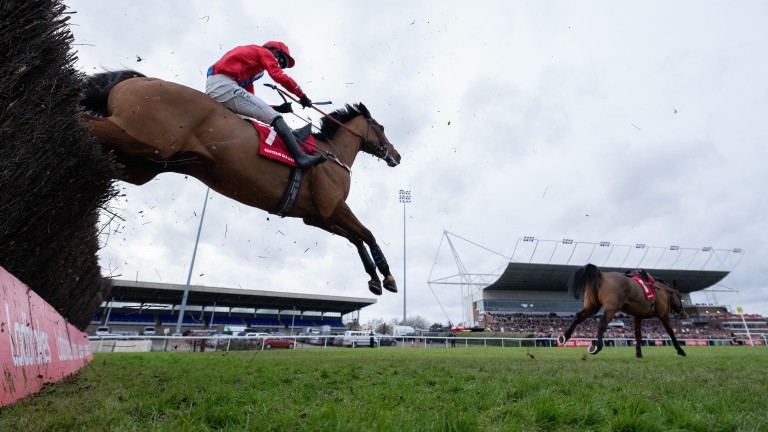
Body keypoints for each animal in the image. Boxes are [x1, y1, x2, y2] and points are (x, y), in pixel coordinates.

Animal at [80, 71, 402, 296]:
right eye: (382, 127)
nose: (396, 155)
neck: (331, 154)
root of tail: (137, 79)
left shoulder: (316, 216)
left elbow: (356, 238)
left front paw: (374, 279)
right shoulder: (333, 207)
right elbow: (367, 233)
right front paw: (387, 277)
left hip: (143, 163)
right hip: (141, 138)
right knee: (82, 121)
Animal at [556, 264, 688, 358]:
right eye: (680, 296)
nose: (684, 313)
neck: (659, 289)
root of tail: (601, 275)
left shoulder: (637, 317)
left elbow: (638, 335)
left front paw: (638, 353)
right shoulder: (663, 314)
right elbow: (671, 333)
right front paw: (680, 350)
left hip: (592, 307)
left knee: (579, 316)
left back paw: (564, 337)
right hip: (612, 308)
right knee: (602, 323)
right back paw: (597, 347)